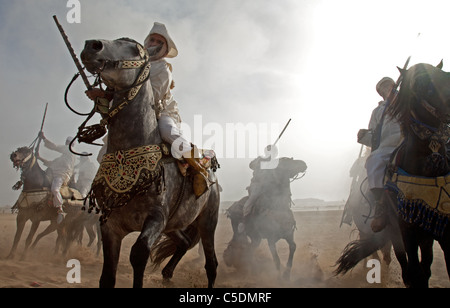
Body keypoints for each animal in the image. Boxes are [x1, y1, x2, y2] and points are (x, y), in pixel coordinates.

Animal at [81, 38, 222, 288]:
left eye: (135, 50)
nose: (93, 45)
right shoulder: (110, 225)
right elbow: (107, 276)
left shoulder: (156, 218)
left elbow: (139, 254)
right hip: (174, 224)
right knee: (184, 242)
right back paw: (167, 274)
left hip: (207, 221)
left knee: (211, 263)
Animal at [334, 61, 450, 288]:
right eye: (420, 82)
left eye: (442, 72)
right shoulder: (405, 230)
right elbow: (413, 272)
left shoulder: (440, 228)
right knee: (400, 264)